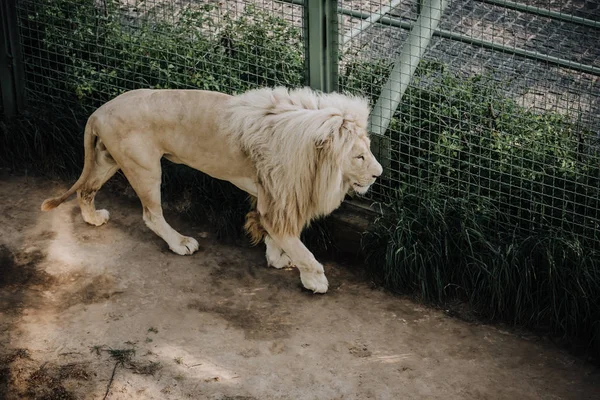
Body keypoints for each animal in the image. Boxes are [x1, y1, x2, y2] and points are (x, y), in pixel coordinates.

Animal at [38, 86, 384, 294]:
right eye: (359, 156)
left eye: (368, 150)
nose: (378, 174)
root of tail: (99, 111)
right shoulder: (278, 193)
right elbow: (294, 241)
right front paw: (314, 277)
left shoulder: (272, 192)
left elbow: (274, 231)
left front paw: (277, 258)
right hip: (145, 167)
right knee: (151, 215)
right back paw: (180, 243)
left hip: (108, 158)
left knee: (85, 190)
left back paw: (93, 218)